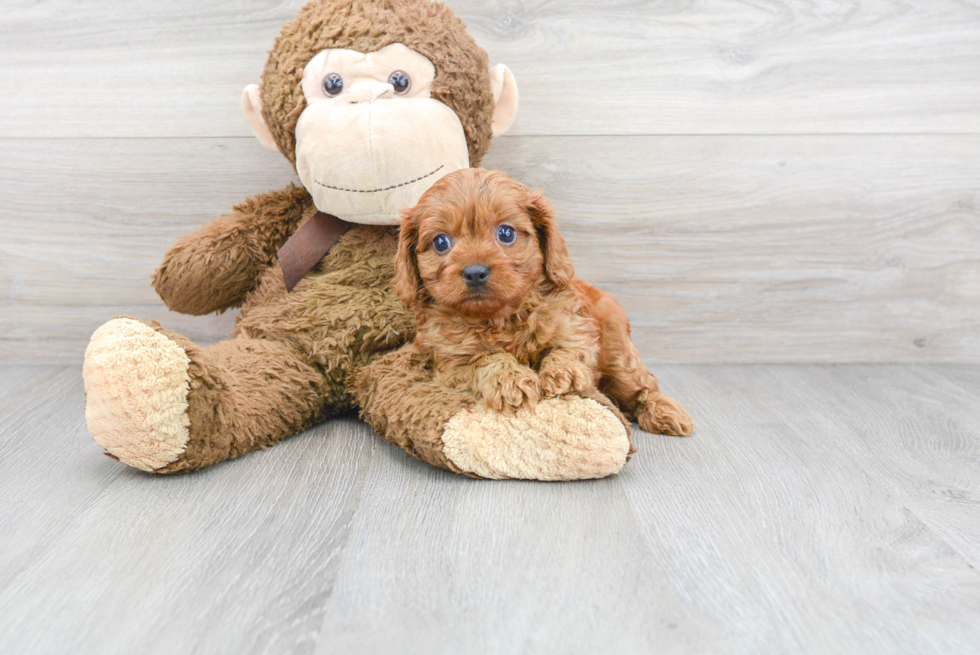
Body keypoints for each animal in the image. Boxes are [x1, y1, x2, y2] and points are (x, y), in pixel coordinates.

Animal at [394, 167, 692, 438]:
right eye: (440, 242)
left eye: (506, 233)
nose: (475, 272)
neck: (500, 317)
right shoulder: (451, 363)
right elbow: (486, 359)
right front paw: (510, 380)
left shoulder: (575, 324)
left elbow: (569, 348)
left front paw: (564, 373)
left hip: (618, 350)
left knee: (639, 385)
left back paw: (665, 411)